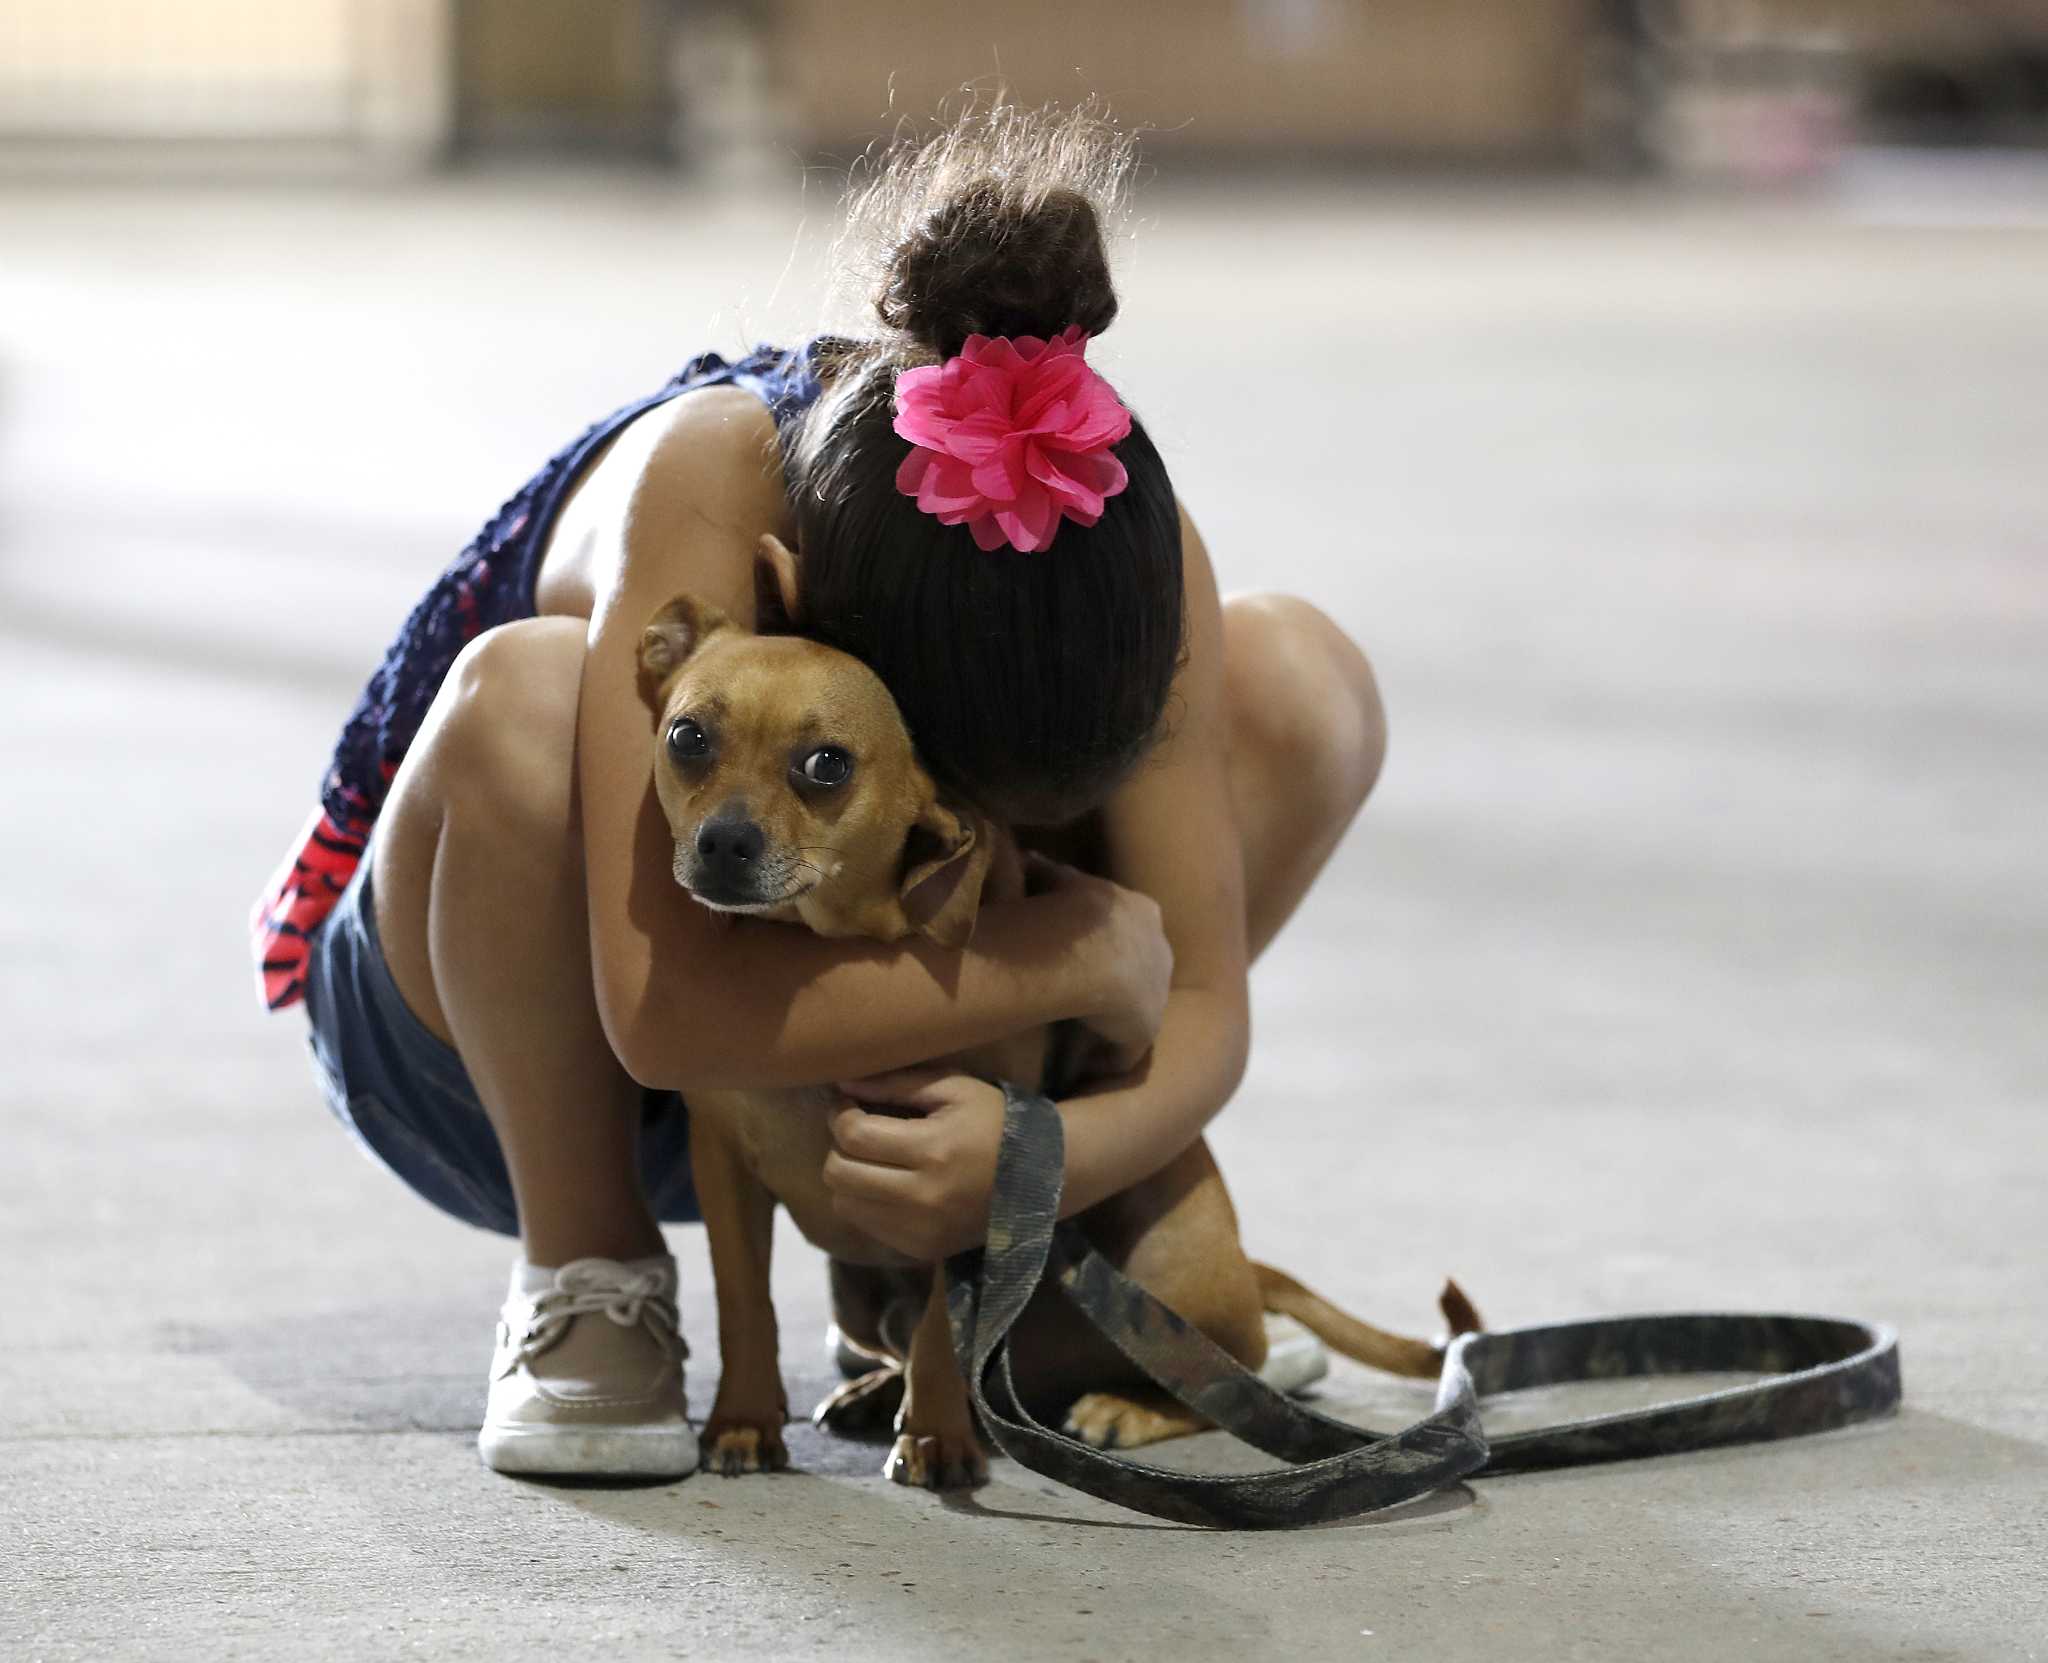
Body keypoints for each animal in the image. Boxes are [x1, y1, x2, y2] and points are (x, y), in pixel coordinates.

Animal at [638, 589, 1474, 1490]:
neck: (824, 950)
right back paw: (881, 1389)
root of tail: (1246, 1271)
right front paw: (745, 1419)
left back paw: (1121, 1407)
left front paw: (937, 1438)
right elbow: (744, 1305)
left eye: (827, 764)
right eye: (688, 737)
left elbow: (942, 1331)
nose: (724, 841)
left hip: (1167, 1253)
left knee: (1217, 1377)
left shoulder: (959, 1179)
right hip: (856, 1292)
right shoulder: (724, 1168)